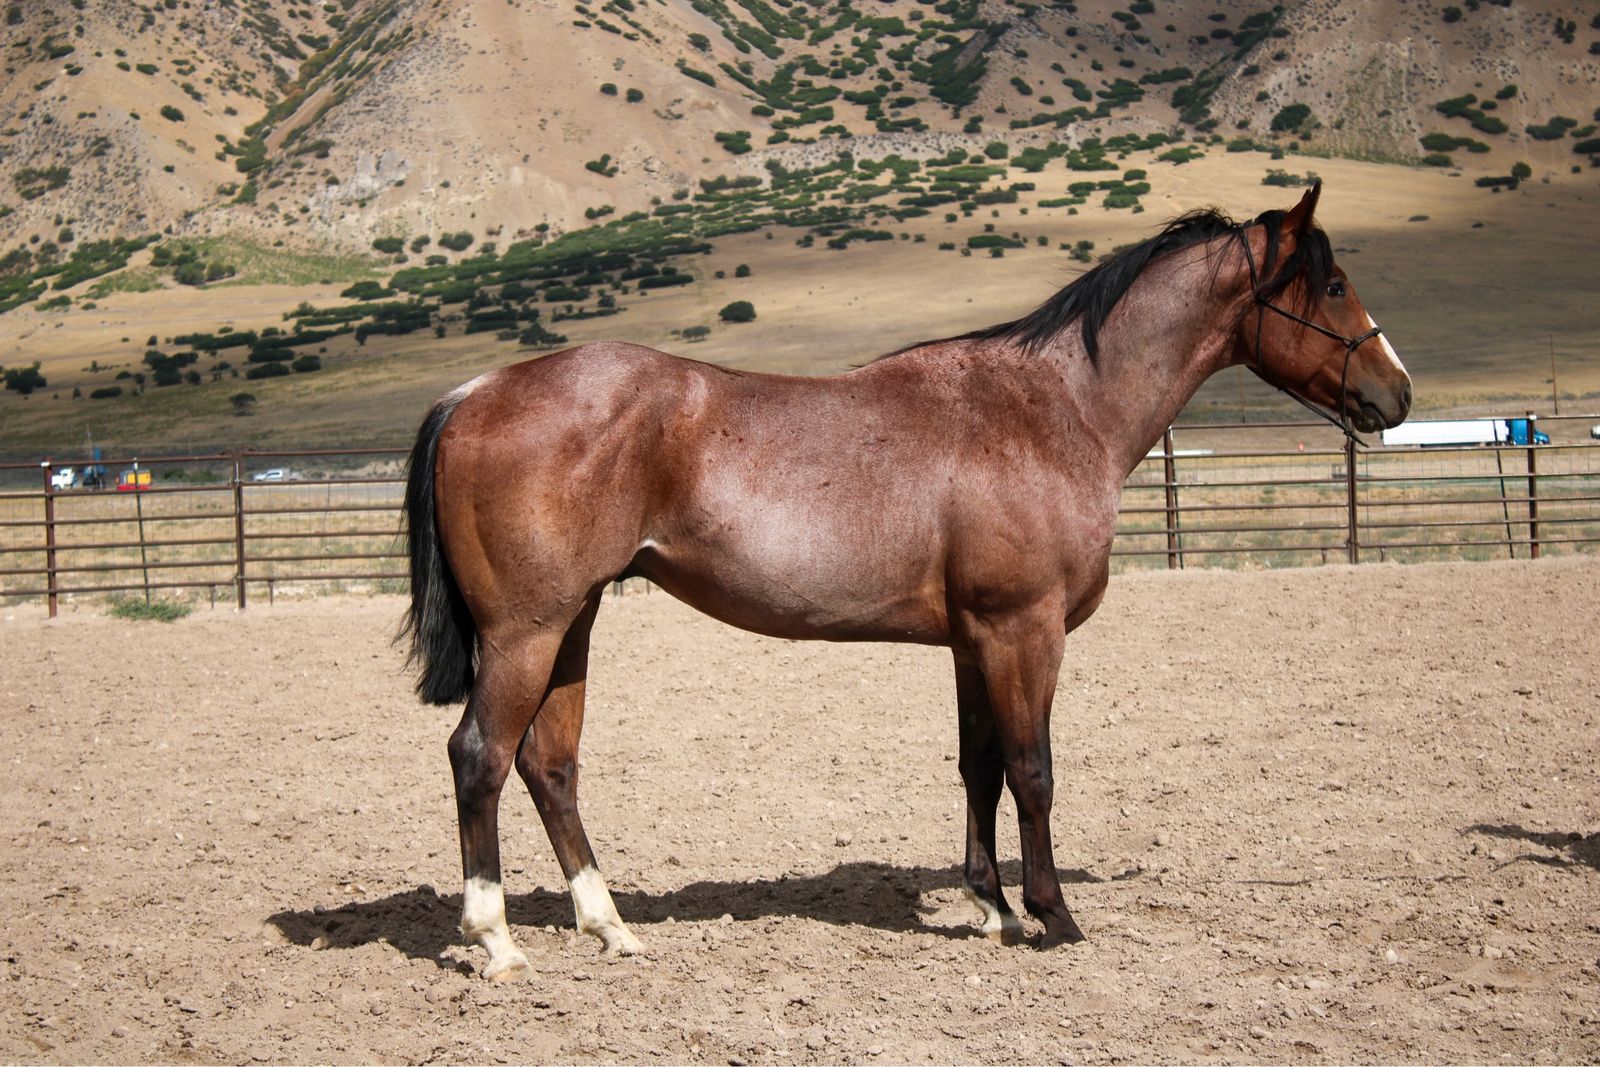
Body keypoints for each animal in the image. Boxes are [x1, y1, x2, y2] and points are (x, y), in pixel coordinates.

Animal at [402, 184, 1411, 981]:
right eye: (1330, 285)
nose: (1396, 393)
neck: (1054, 410)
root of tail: (474, 391)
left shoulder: (975, 640)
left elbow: (980, 767)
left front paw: (993, 908)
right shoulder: (1024, 630)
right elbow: (1034, 770)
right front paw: (1054, 914)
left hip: (571, 624)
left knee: (549, 763)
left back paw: (609, 926)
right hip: (527, 631)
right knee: (479, 757)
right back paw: (497, 942)